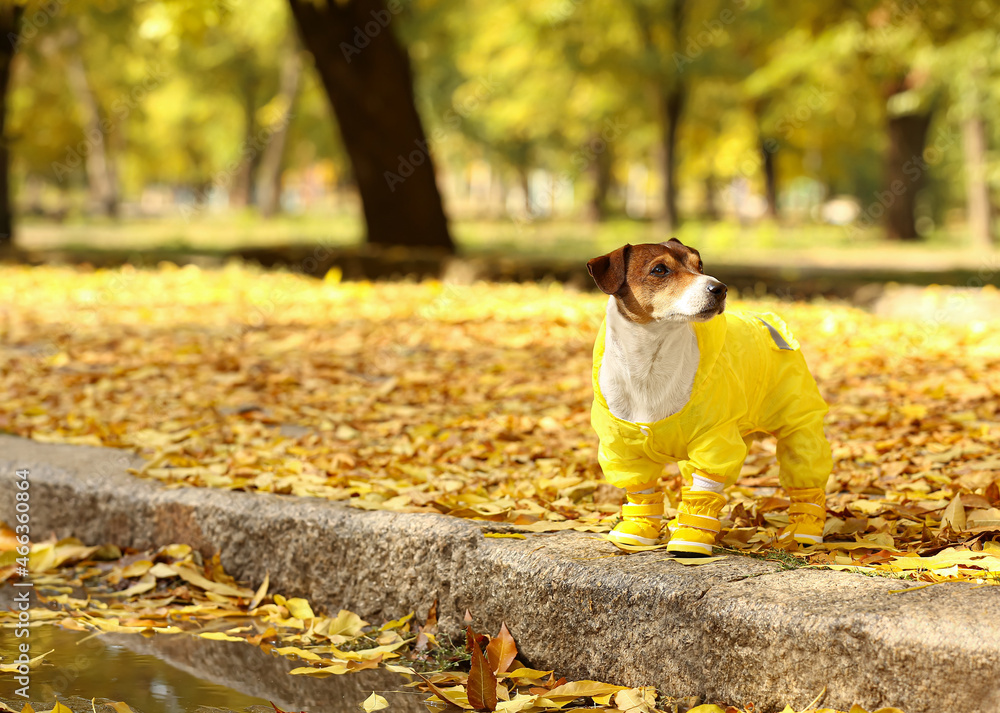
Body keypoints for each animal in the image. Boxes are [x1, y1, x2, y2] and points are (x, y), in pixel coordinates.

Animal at [588, 242, 832, 552]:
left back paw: (805, 528)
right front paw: (638, 529)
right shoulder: (623, 451)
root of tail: (765, 318)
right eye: (659, 270)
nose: (720, 288)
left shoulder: (714, 443)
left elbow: (704, 488)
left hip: (798, 425)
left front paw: (691, 537)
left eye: (699, 265)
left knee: (805, 467)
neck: (649, 367)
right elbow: (641, 489)